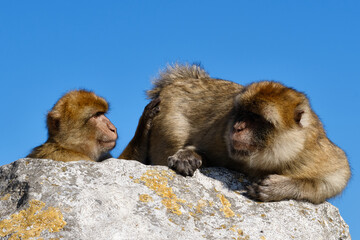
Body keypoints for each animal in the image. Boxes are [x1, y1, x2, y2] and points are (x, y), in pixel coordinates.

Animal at [145, 63, 350, 202]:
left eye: (256, 119)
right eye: (242, 114)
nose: (237, 127)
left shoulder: (310, 150)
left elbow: (337, 175)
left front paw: (277, 188)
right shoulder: (220, 137)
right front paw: (189, 155)